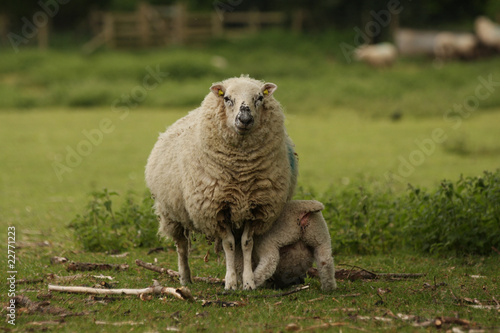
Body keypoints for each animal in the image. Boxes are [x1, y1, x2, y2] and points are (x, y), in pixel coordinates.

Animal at [146, 74, 298, 288]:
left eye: (260, 98)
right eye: (227, 98)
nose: (245, 119)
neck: (242, 172)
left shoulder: (256, 208)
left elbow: (246, 244)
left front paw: (248, 282)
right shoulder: (218, 208)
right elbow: (228, 244)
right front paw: (231, 283)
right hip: (170, 214)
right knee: (182, 247)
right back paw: (185, 279)